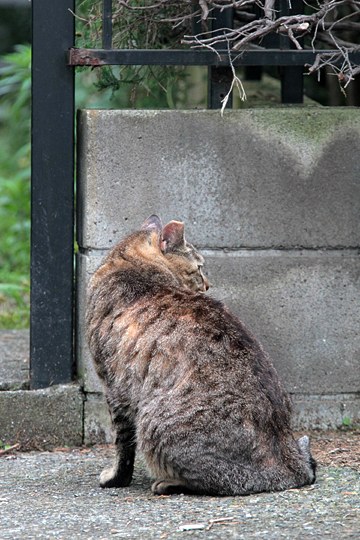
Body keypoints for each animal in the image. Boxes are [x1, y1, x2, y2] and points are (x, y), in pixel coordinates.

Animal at [85, 214, 316, 494]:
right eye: (199, 269)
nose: (208, 284)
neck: (129, 264)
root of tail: (289, 466)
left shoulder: (114, 388)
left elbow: (123, 446)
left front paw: (115, 478)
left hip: (153, 421)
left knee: (216, 479)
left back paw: (167, 482)